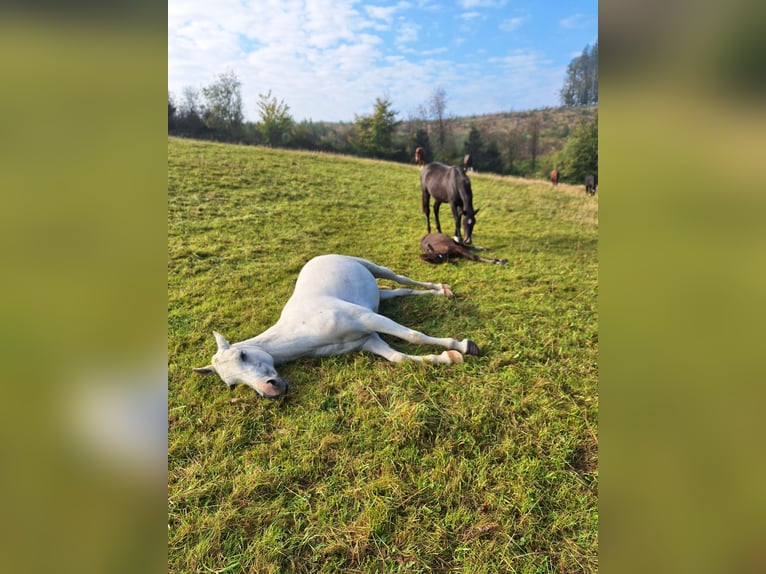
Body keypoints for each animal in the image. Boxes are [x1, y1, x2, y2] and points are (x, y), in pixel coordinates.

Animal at [193, 254, 480, 398]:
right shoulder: (368, 339)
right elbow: (400, 358)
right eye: (232, 385)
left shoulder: (367, 319)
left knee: (402, 278)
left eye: (243, 354)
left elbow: (413, 336)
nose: (271, 391)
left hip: (375, 268)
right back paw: (440, 293)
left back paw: (442, 289)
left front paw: (465, 346)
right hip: (380, 295)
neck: (305, 329)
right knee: (400, 291)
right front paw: (449, 357)